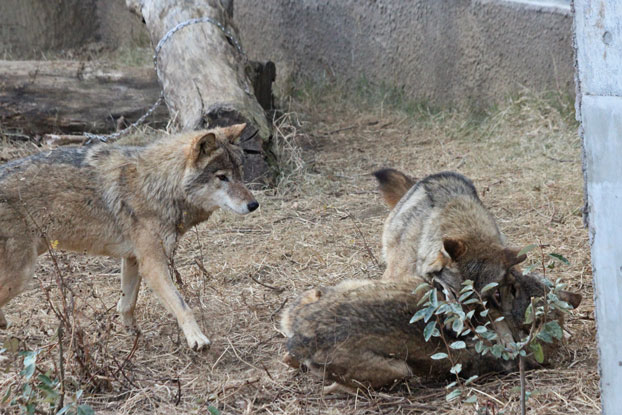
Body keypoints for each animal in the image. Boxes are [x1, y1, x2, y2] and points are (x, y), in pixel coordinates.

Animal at [0, 123, 258, 352]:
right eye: (222, 177)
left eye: (240, 173)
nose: (254, 205)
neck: (158, 185)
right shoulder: (153, 264)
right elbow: (182, 305)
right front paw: (197, 339)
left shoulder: (133, 259)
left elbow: (126, 304)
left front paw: (135, 336)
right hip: (22, 274)